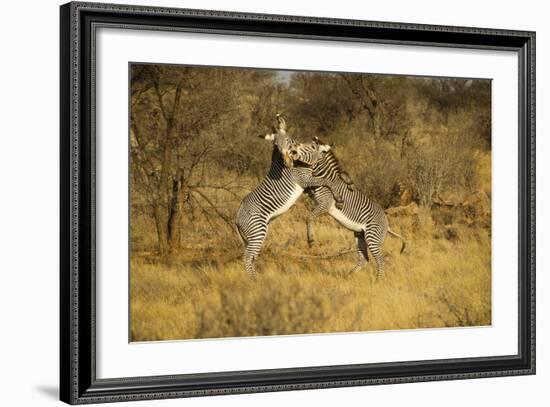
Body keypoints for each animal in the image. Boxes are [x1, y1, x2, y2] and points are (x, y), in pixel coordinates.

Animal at [236, 116, 344, 276]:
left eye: (287, 140)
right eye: (276, 145)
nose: (287, 162)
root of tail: (236, 218)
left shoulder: (307, 181)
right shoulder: (304, 179)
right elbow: (327, 181)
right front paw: (338, 197)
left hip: (251, 236)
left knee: (251, 257)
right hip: (257, 230)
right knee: (247, 257)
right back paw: (255, 280)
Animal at [292, 137, 408, 280]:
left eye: (310, 147)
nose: (293, 149)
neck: (322, 176)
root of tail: (387, 223)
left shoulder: (325, 203)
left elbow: (309, 217)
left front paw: (310, 240)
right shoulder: (313, 192)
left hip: (372, 237)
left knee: (380, 259)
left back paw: (378, 281)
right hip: (360, 235)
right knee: (364, 258)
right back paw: (349, 276)